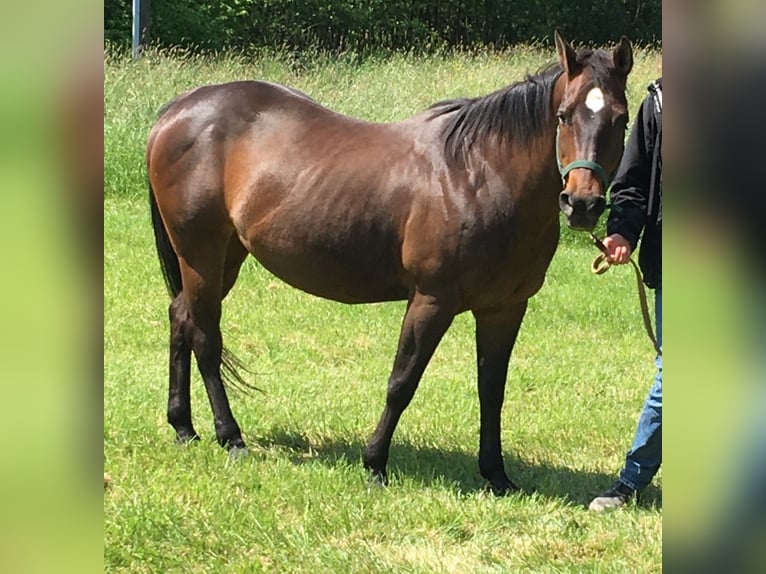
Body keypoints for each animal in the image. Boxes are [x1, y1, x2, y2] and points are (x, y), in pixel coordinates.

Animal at [147, 31, 632, 498]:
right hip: (201, 255)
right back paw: (230, 437)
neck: (479, 174)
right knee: (205, 337)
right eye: (564, 115)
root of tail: (177, 111)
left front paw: (496, 475)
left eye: (621, 118)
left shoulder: (504, 308)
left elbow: (491, 390)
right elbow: (402, 382)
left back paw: (183, 427)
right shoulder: (431, 301)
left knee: (180, 317)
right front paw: (375, 465)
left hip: (225, 256)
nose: (582, 204)